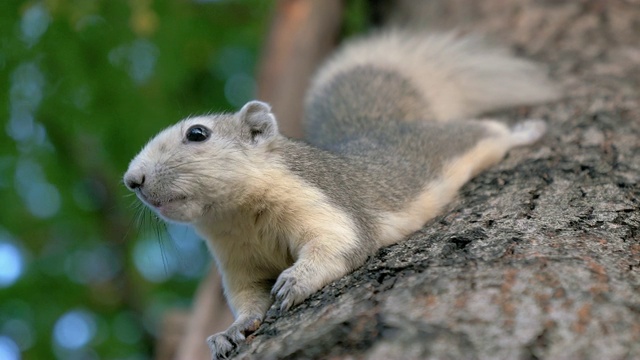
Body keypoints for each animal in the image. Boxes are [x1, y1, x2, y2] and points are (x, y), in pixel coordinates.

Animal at [121, 31, 560, 360]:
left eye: (198, 133)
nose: (132, 179)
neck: (237, 216)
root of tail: (383, 126)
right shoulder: (236, 260)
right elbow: (247, 297)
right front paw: (231, 331)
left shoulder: (324, 202)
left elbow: (337, 244)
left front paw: (296, 280)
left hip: (447, 144)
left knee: (485, 131)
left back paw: (527, 131)